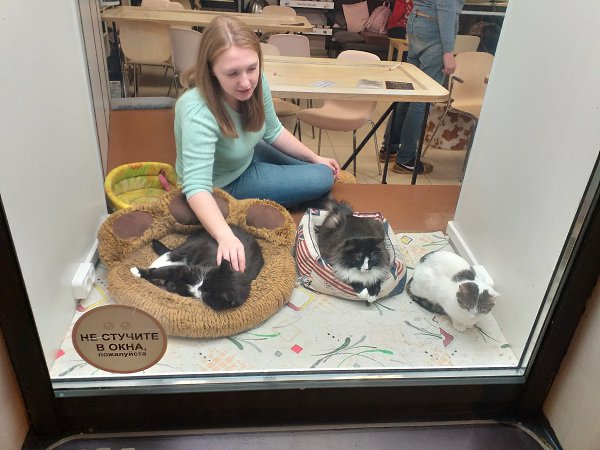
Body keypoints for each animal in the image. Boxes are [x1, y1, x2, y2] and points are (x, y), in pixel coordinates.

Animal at [130, 224, 264, 311]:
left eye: (207, 293)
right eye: (206, 279)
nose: (199, 287)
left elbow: (174, 285)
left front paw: (171, 284)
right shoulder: (190, 270)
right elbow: (166, 271)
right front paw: (139, 272)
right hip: (191, 245)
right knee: (171, 254)